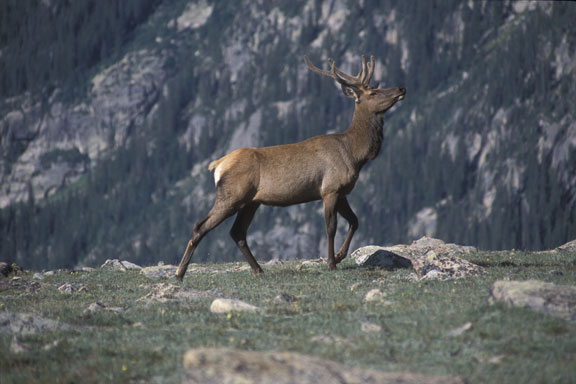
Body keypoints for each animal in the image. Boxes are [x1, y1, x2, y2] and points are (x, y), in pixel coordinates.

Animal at [176, 55, 404, 280]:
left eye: (378, 86)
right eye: (373, 92)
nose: (401, 88)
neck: (354, 154)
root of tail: (218, 165)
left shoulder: (342, 191)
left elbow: (355, 221)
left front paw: (339, 256)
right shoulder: (330, 189)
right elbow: (331, 228)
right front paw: (331, 263)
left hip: (251, 202)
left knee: (237, 232)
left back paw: (258, 270)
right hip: (231, 196)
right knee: (200, 226)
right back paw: (179, 273)